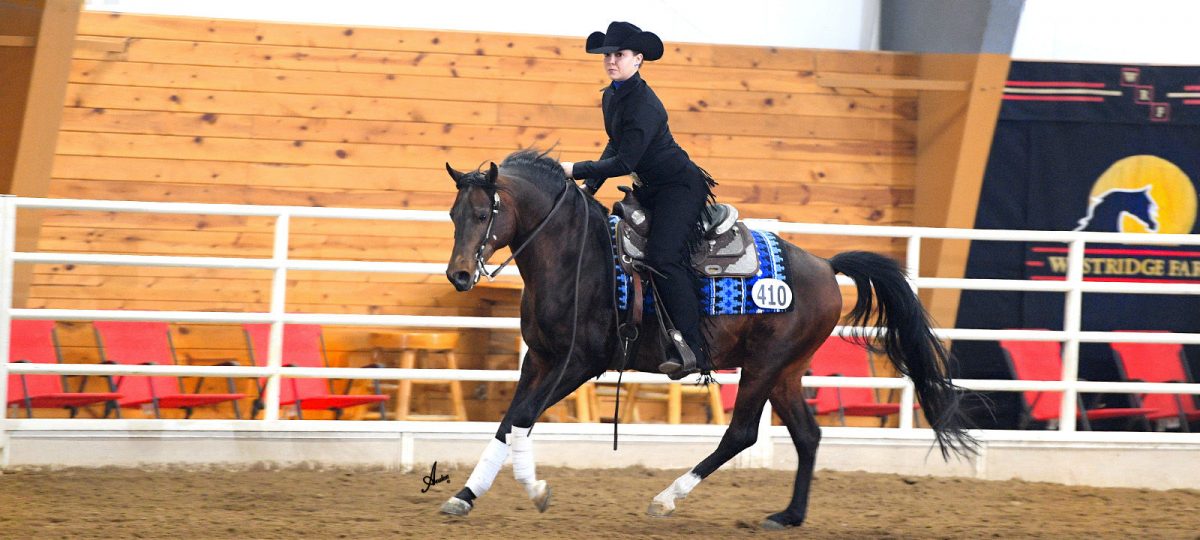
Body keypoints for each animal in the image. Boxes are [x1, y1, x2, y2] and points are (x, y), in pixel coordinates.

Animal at [438, 149, 975, 529]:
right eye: (452, 215)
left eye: (484, 214)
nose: (459, 275)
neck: (576, 256)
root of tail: (825, 266)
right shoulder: (540, 359)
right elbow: (508, 421)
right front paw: (464, 496)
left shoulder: (579, 363)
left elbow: (523, 418)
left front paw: (535, 490)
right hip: (786, 371)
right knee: (807, 435)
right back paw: (788, 516)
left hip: (763, 366)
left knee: (741, 433)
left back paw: (666, 499)